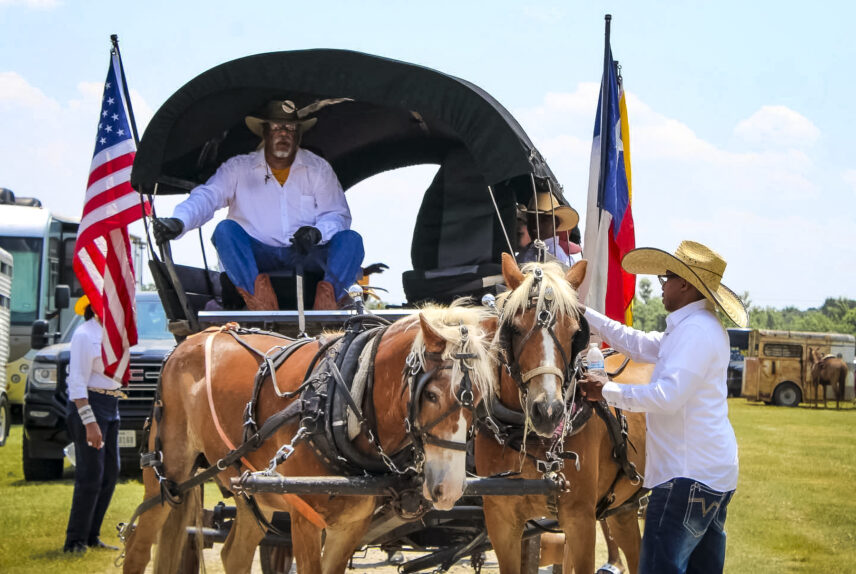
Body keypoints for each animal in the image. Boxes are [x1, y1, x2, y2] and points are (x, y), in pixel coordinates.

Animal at [120, 304, 494, 572]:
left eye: (478, 398)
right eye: (431, 395)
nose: (450, 490)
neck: (341, 403)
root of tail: (194, 338)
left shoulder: (349, 526)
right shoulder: (305, 520)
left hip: (253, 488)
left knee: (235, 554)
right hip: (170, 472)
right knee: (139, 543)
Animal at [474, 256, 648, 574]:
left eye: (573, 332)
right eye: (514, 329)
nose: (548, 411)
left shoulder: (581, 522)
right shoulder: (501, 522)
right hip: (623, 507)